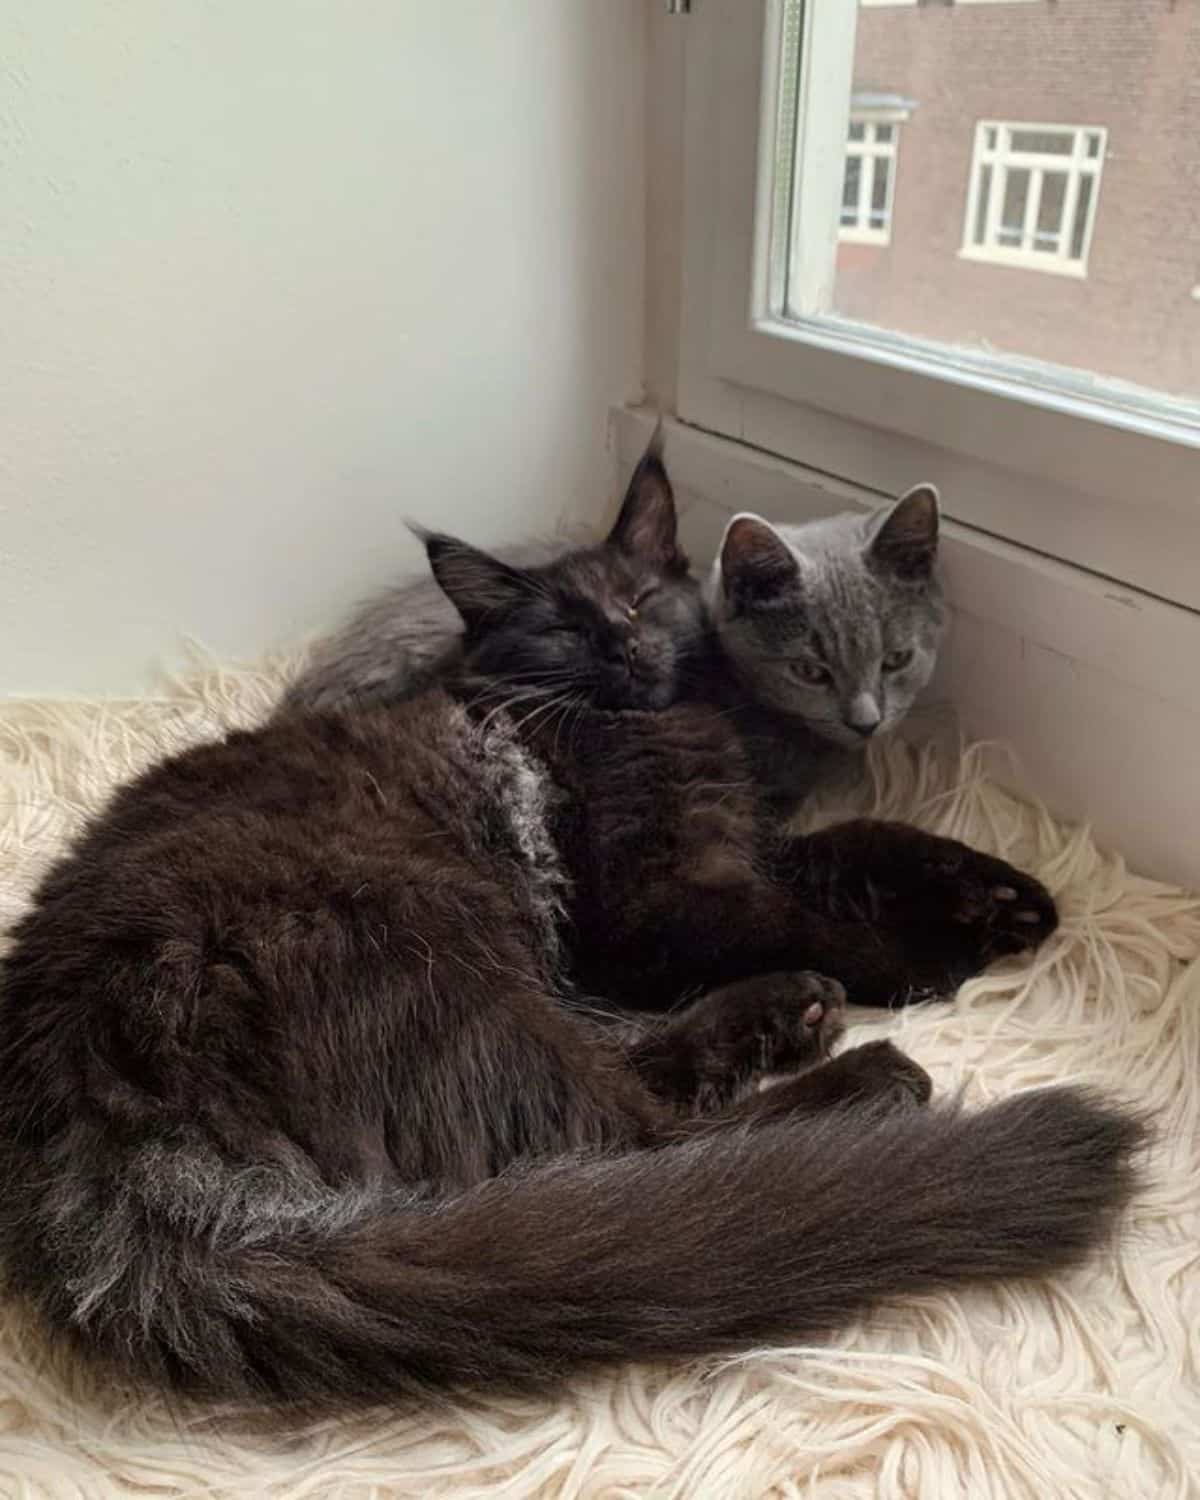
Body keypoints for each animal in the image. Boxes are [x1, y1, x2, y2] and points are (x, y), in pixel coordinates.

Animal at [0, 486, 1146, 1410]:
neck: (668, 718)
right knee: (639, 1143)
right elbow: (805, 910)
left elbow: (864, 841)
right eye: (560, 630)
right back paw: (860, 1075)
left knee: (632, 1088)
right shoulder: (652, 910)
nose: (627, 650)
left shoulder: (742, 838)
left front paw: (1003, 896)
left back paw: (790, 1013)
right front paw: (920, 959)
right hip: (439, 940)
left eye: (639, 604)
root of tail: (88, 1119)